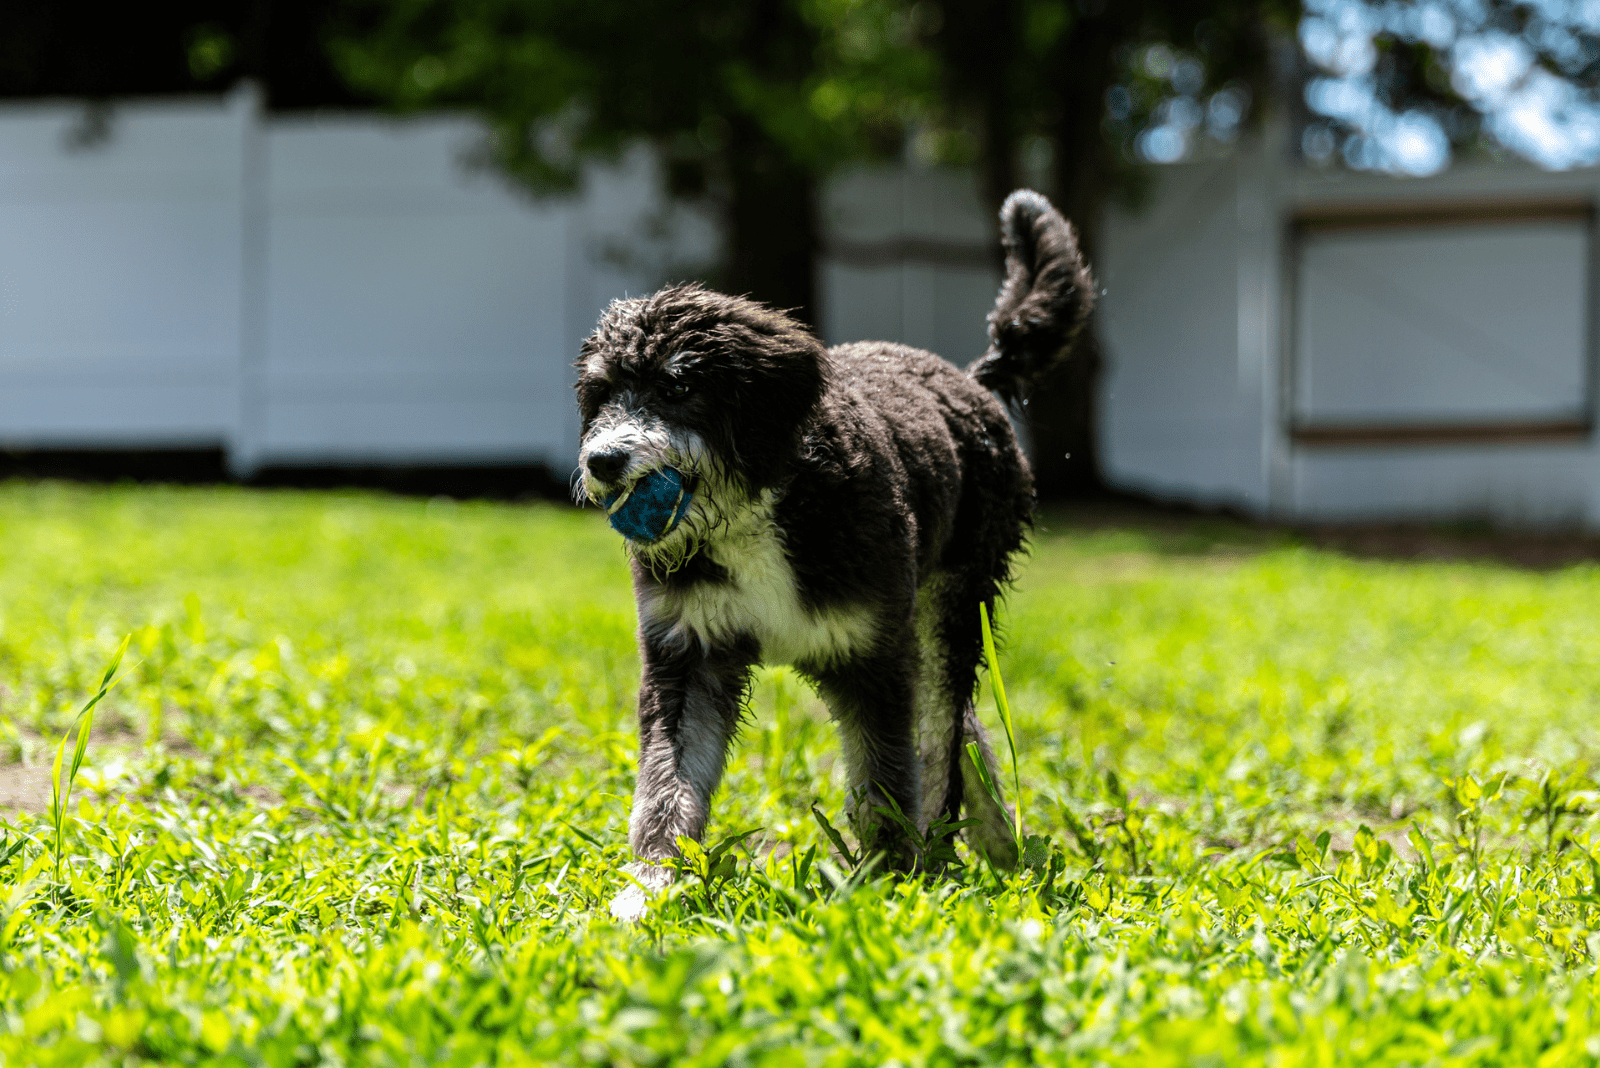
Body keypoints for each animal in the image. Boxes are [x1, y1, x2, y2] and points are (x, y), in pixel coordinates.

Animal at [579, 185, 1100, 920]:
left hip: (948, 610)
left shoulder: (871, 654)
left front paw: (887, 881)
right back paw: (995, 840)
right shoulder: (688, 652)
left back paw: (950, 841)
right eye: (601, 394)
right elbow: (668, 782)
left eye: (678, 386)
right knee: (961, 731)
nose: (601, 462)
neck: (761, 505)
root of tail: (972, 379)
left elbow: (886, 777)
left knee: (943, 732)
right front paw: (650, 886)